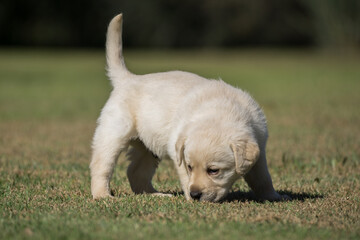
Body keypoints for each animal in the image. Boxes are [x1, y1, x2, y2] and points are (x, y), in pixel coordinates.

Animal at [90, 14, 290, 202]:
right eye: (190, 166)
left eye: (213, 170)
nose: (195, 195)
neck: (221, 111)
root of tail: (128, 78)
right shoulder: (177, 149)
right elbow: (186, 177)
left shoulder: (259, 148)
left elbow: (262, 178)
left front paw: (274, 196)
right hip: (113, 134)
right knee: (101, 166)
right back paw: (102, 195)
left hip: (148, 146)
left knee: (135, 172)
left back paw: (155, 195)